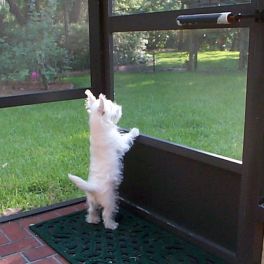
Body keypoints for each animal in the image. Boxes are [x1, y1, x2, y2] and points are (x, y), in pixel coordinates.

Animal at [68, 90, 139, 229]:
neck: (99, 127)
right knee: (106, 214)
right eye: (112, 107)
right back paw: (112, 225)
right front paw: (134, 131)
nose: (119, 107)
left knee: (91, 211)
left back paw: (93, 220)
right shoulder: (120, 143)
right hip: (110, 201)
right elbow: (127, 137)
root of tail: (94, 188)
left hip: (91, 202)